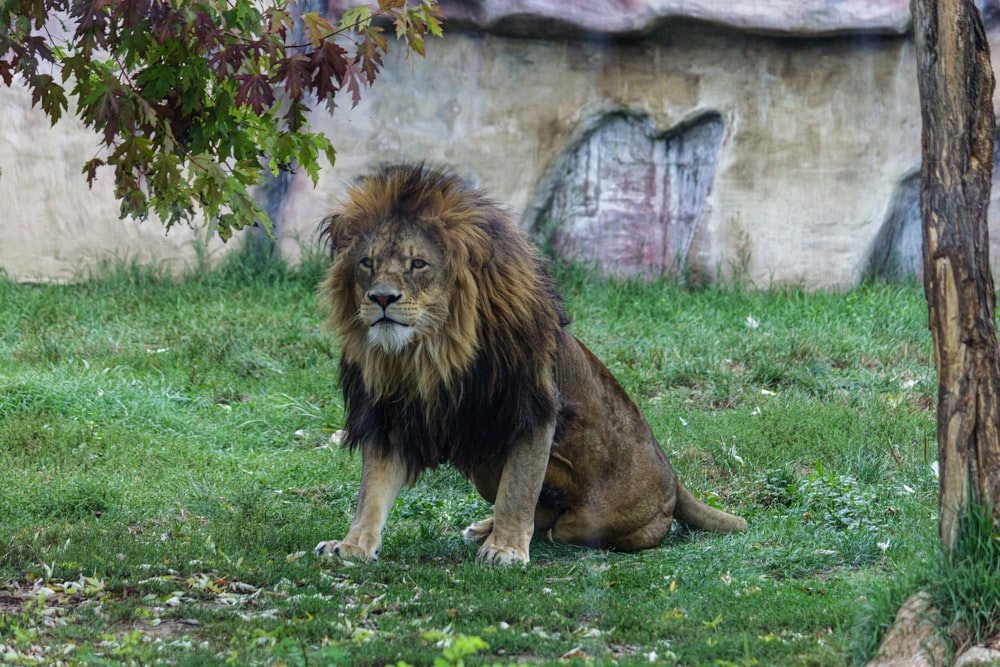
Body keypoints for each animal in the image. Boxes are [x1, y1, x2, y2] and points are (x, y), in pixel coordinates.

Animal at [316, 164, 748, 568]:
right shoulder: (389, 416)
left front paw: (505, 549)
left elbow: (519, 489)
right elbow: (372, 490)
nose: (381, 298)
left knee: (558, 523)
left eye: (418, 264)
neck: (428, 353)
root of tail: (673, 478)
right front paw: (352, 545)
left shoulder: (531, 407)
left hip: (593, 514)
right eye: (367, 262)